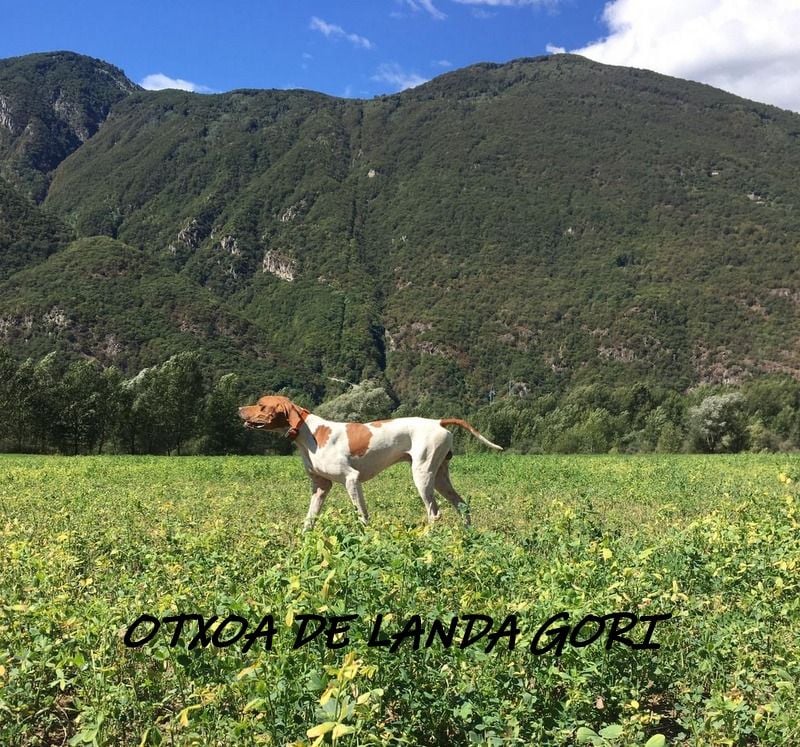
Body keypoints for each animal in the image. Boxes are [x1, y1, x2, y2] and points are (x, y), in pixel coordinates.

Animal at [238, 394, 504, 528]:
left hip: (423, 476)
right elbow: (309, 519)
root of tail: (437, 421)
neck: (311, 434)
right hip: (439, 476)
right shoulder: (320, 488)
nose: (239, 409)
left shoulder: (351, 480)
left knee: (434, 512)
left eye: (261, 405)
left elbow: (362, 515)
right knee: (462, 505)